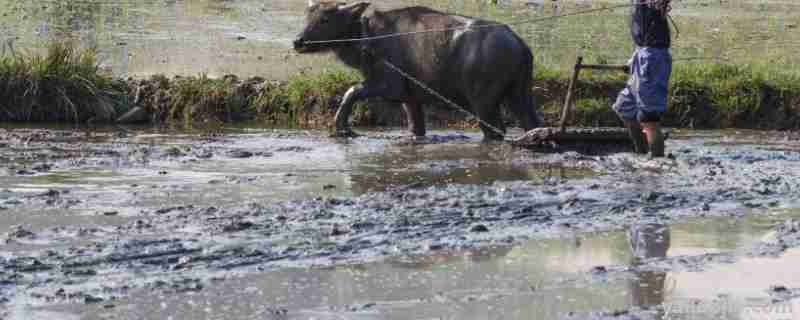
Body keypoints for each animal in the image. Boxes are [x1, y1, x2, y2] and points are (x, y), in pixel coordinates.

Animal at [296, 0, 544, 139]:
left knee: (495, 130)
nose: (297, 41)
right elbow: (416, 128)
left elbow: (352, 91)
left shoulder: (389, 86)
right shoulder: (410, 98)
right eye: (308, 16)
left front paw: (342, 128)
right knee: (531, 123)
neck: (368, 37)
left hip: (483, 102)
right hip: (519, 94)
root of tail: (519, 43)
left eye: (325, 19)